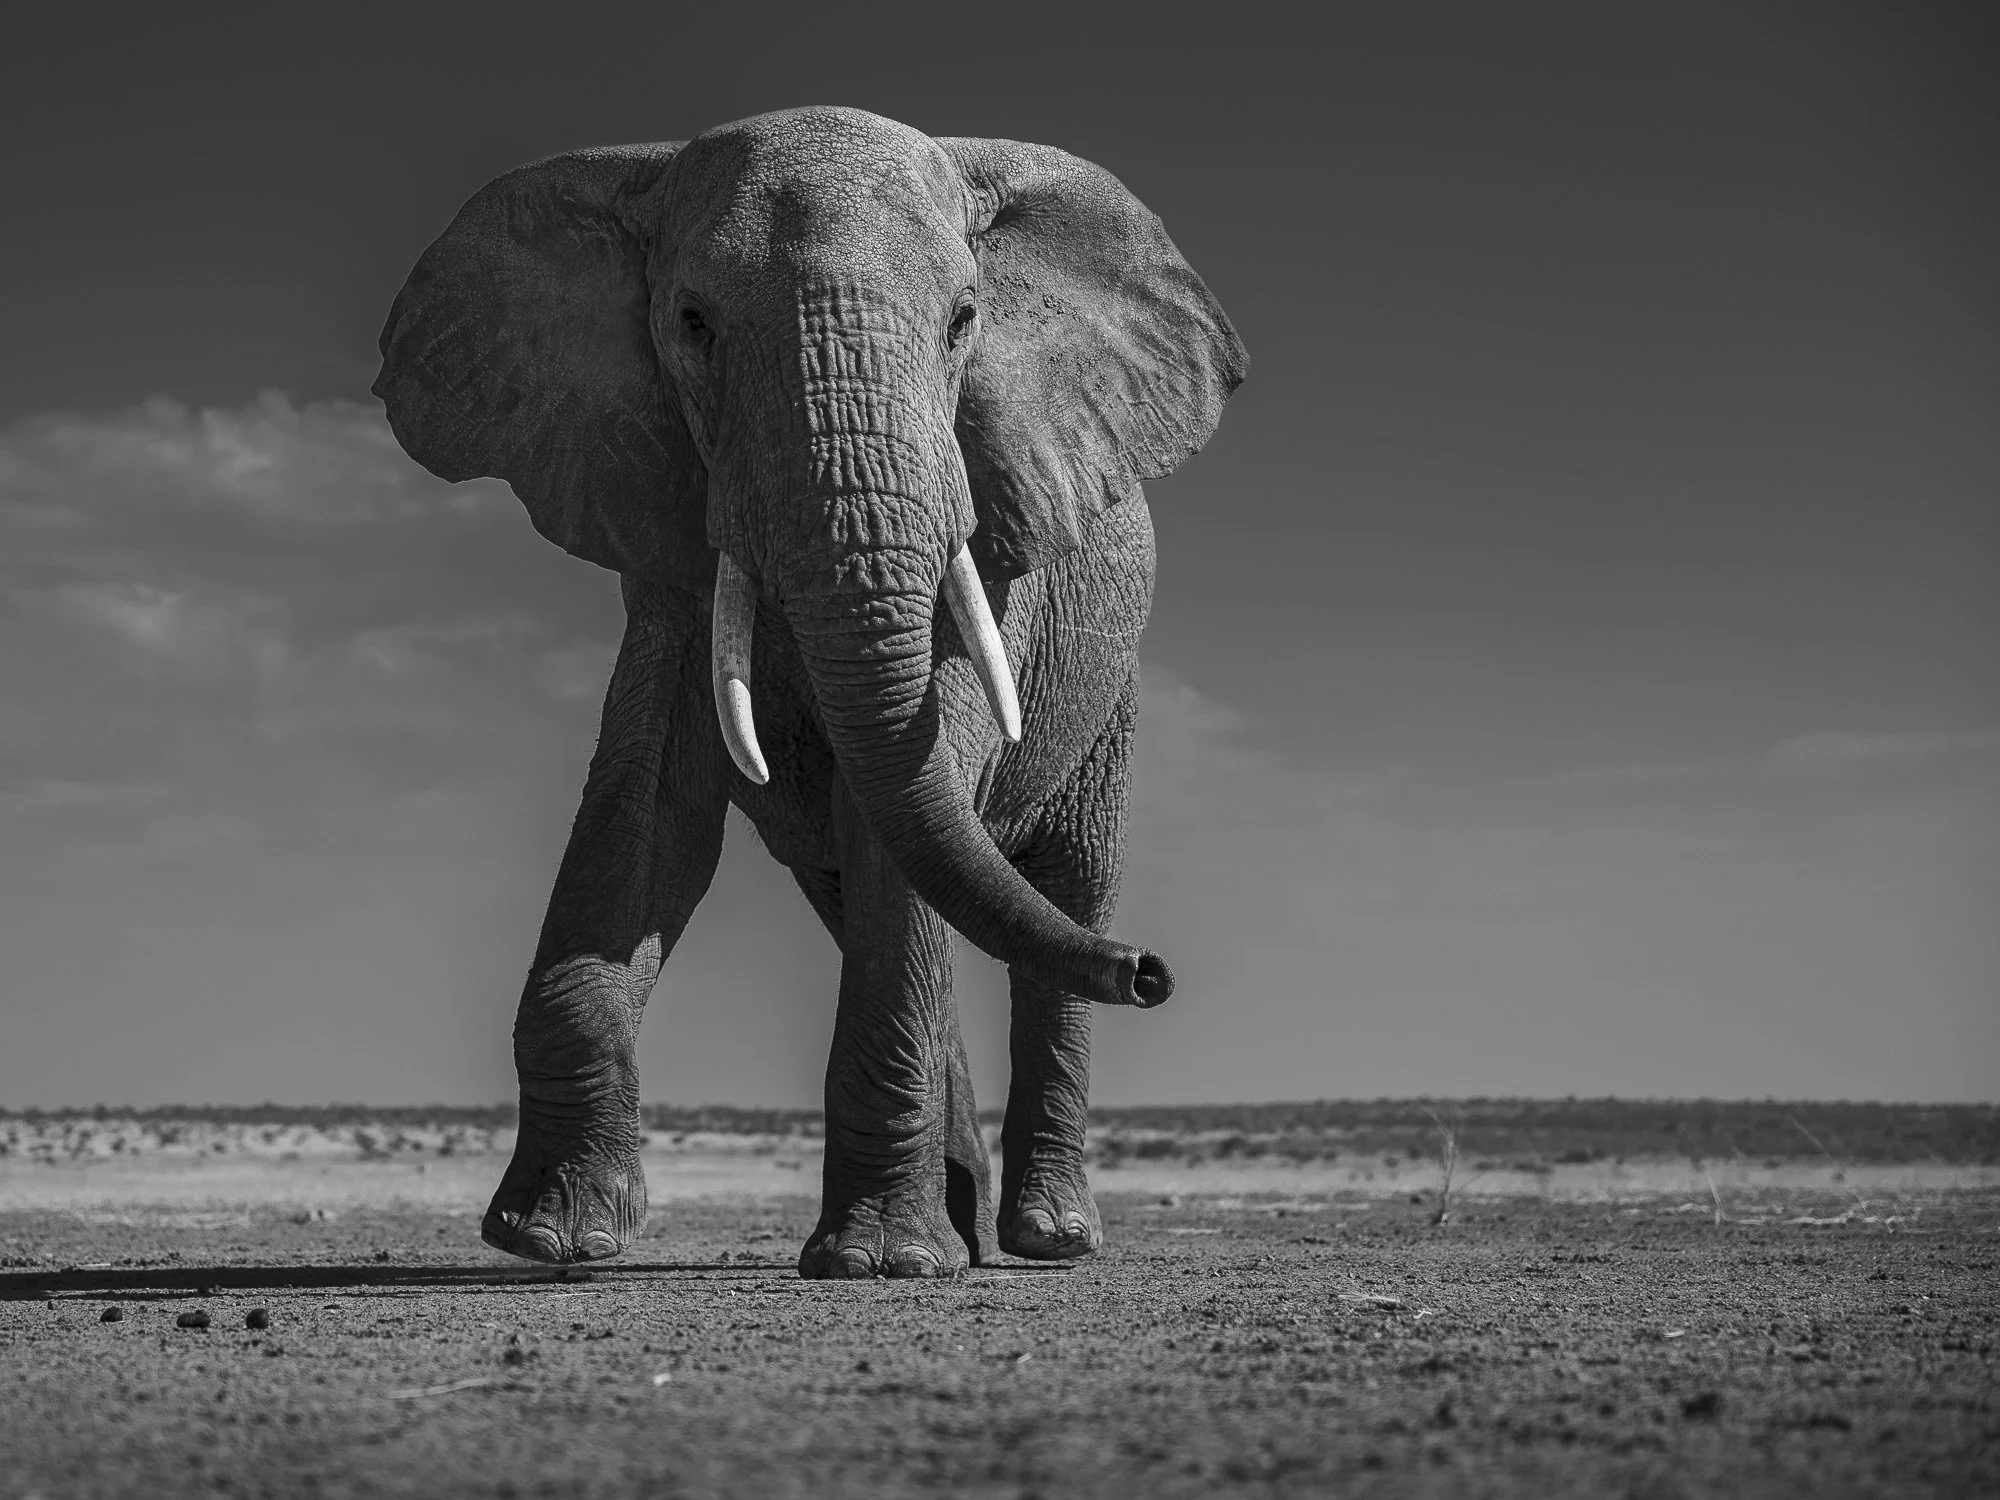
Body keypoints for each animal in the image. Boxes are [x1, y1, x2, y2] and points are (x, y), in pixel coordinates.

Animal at [372, 106, 1245, 1277]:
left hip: (1111, 690)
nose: (1153, 972)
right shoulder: (662, 530)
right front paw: (551, 1238)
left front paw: (877, 1264)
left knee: (1062, 888)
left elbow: (905, 809)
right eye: (691, 323)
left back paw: (1045, 1240)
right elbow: (646, 814)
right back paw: (961, 1225)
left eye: (965, 319)